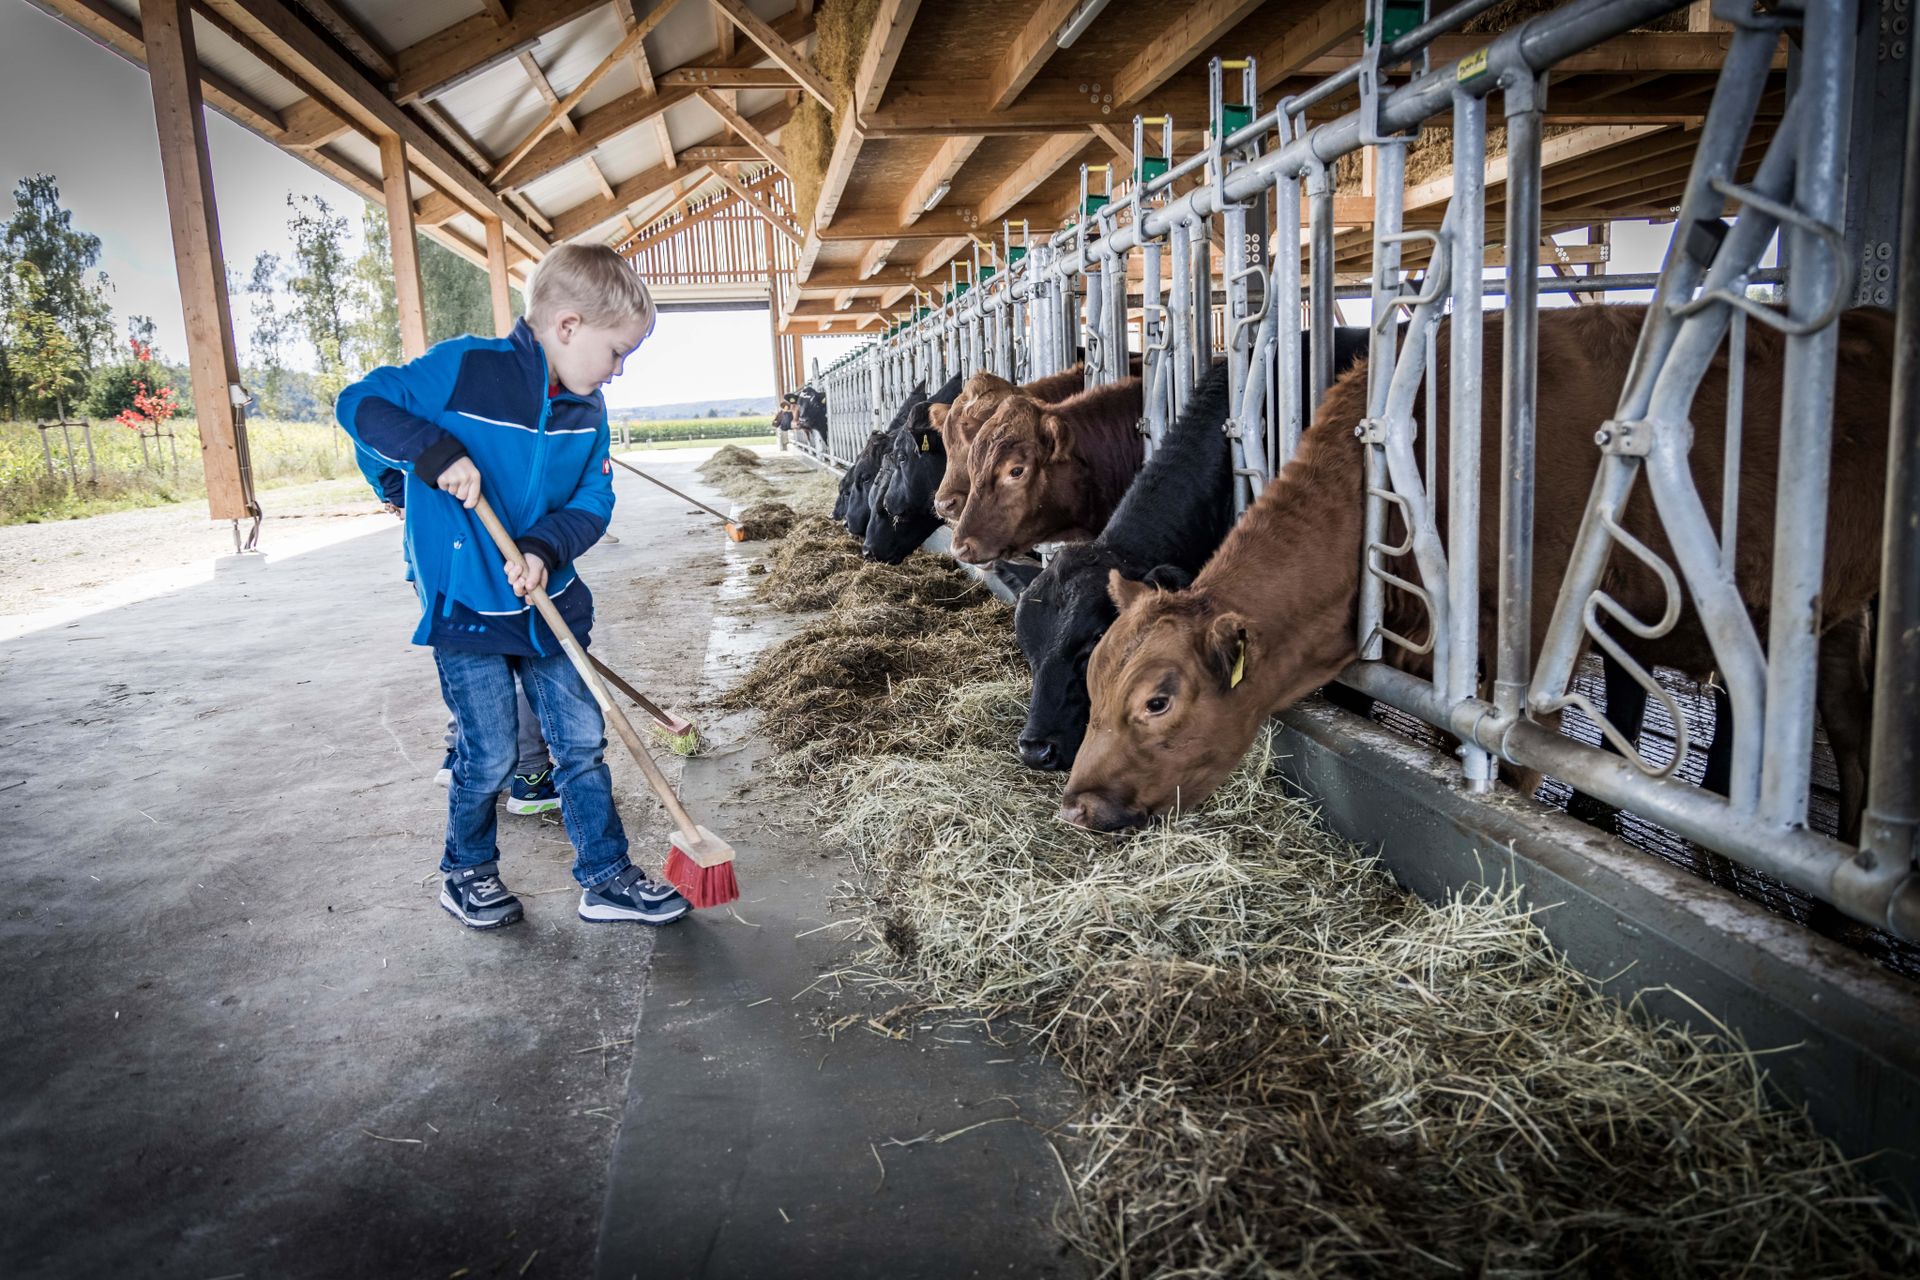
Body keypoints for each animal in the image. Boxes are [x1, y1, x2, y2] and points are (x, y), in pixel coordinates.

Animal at [1059, 305, 1896, 836]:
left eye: (1158, 701)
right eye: (1093, 679)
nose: (1073, 803)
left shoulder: (1540, 648)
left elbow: (1520, 766)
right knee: (1851, 728)